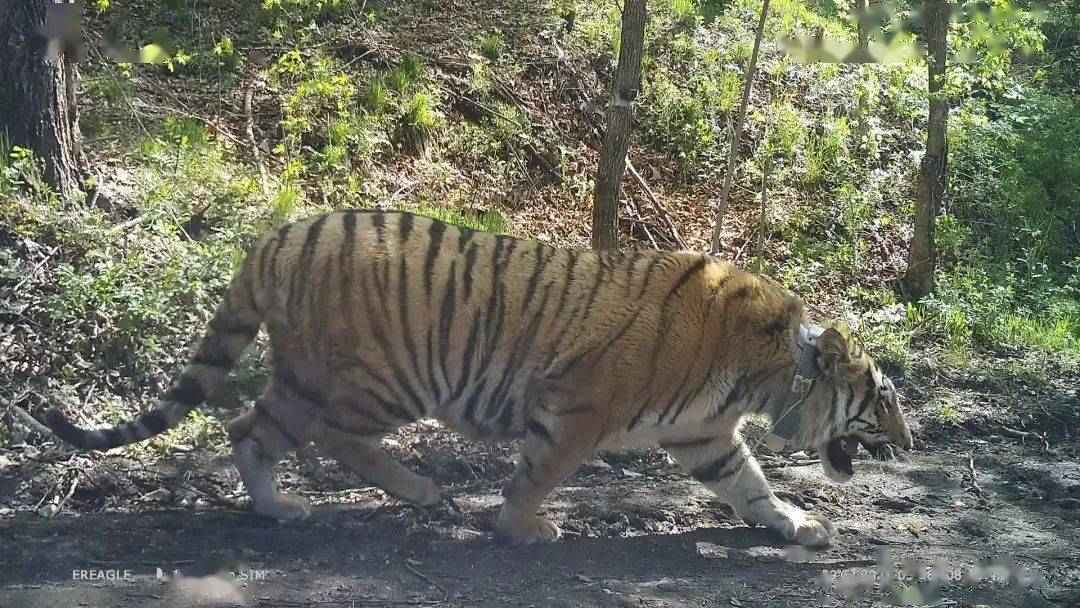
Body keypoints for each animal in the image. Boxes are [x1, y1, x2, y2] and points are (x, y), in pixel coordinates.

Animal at [42, 209, 913, 548]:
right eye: (883, 400)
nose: (910, 443)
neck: (764, 375)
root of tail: (275, 238)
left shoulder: (705, 434)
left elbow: (750, 484)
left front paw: (795, 524)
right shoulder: (579, 407)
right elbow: (542, 472)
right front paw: (522, 527)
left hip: (303, 372)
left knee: (247, 427)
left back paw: (278, 508)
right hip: (383, 376)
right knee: (327, 434)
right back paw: (420, 492)